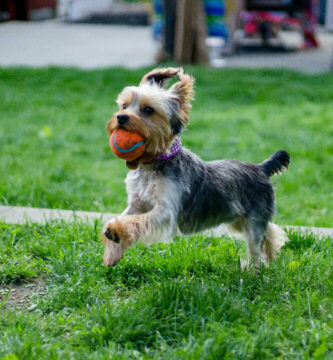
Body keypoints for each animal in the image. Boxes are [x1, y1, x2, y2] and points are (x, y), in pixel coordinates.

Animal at [102, 67, 290, 268]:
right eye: (124, 106)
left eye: (148, 110)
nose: (121, 117)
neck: (153, 162)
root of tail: (262, 168)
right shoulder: (138, 203)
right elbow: (125, 216)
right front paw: (112, 249)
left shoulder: (166, 210)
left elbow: (137, 221)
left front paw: (116, 231)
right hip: (237, 217)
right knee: (269, 232)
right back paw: (272, 255)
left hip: (254, 216)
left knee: (255, 246)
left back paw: (253, 269)